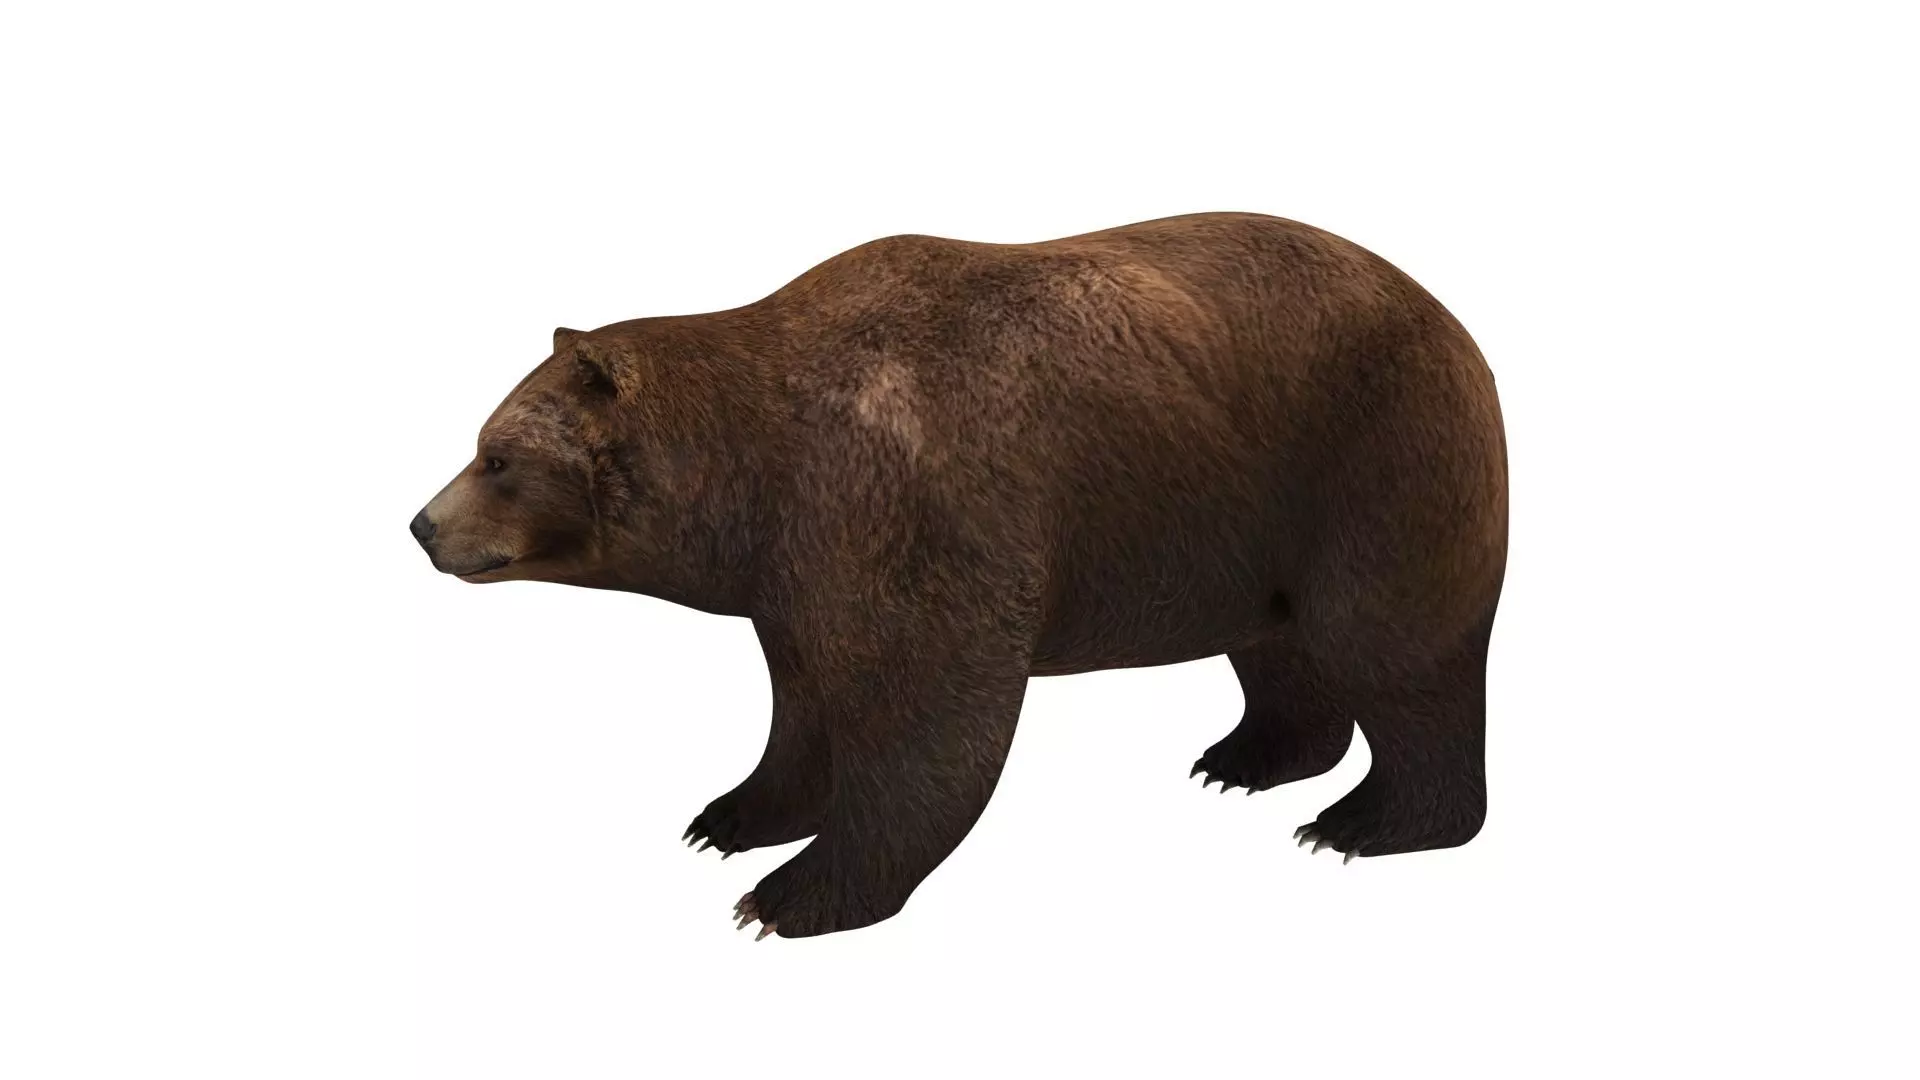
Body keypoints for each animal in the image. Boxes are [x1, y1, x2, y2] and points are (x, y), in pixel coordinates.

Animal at [410, 211, 1507, 940]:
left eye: (496, 456)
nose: (422, 526)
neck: (760, 476)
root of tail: (1451, 317)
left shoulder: (917, 510)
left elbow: (925, 714)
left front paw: (788, 896)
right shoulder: (798, 572)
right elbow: (806, 702)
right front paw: (730, 819)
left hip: (1377, 456)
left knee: (1391, 645)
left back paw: (1368, 820)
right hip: (1247, 523)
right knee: (1281, 644)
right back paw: (1249, 757)